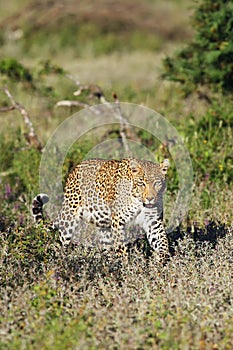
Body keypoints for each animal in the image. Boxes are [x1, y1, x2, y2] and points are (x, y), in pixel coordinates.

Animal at [32, 157, 169, 262]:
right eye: (141, 184)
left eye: (157, 183)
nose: (150, 198)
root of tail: (74, 170)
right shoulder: (118, 222)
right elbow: (121, 248)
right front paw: (125, 267)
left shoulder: (153, 222)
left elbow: (163, 242)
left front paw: (160, 261)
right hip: (69, 220)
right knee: (61, 244)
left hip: (104, 225)